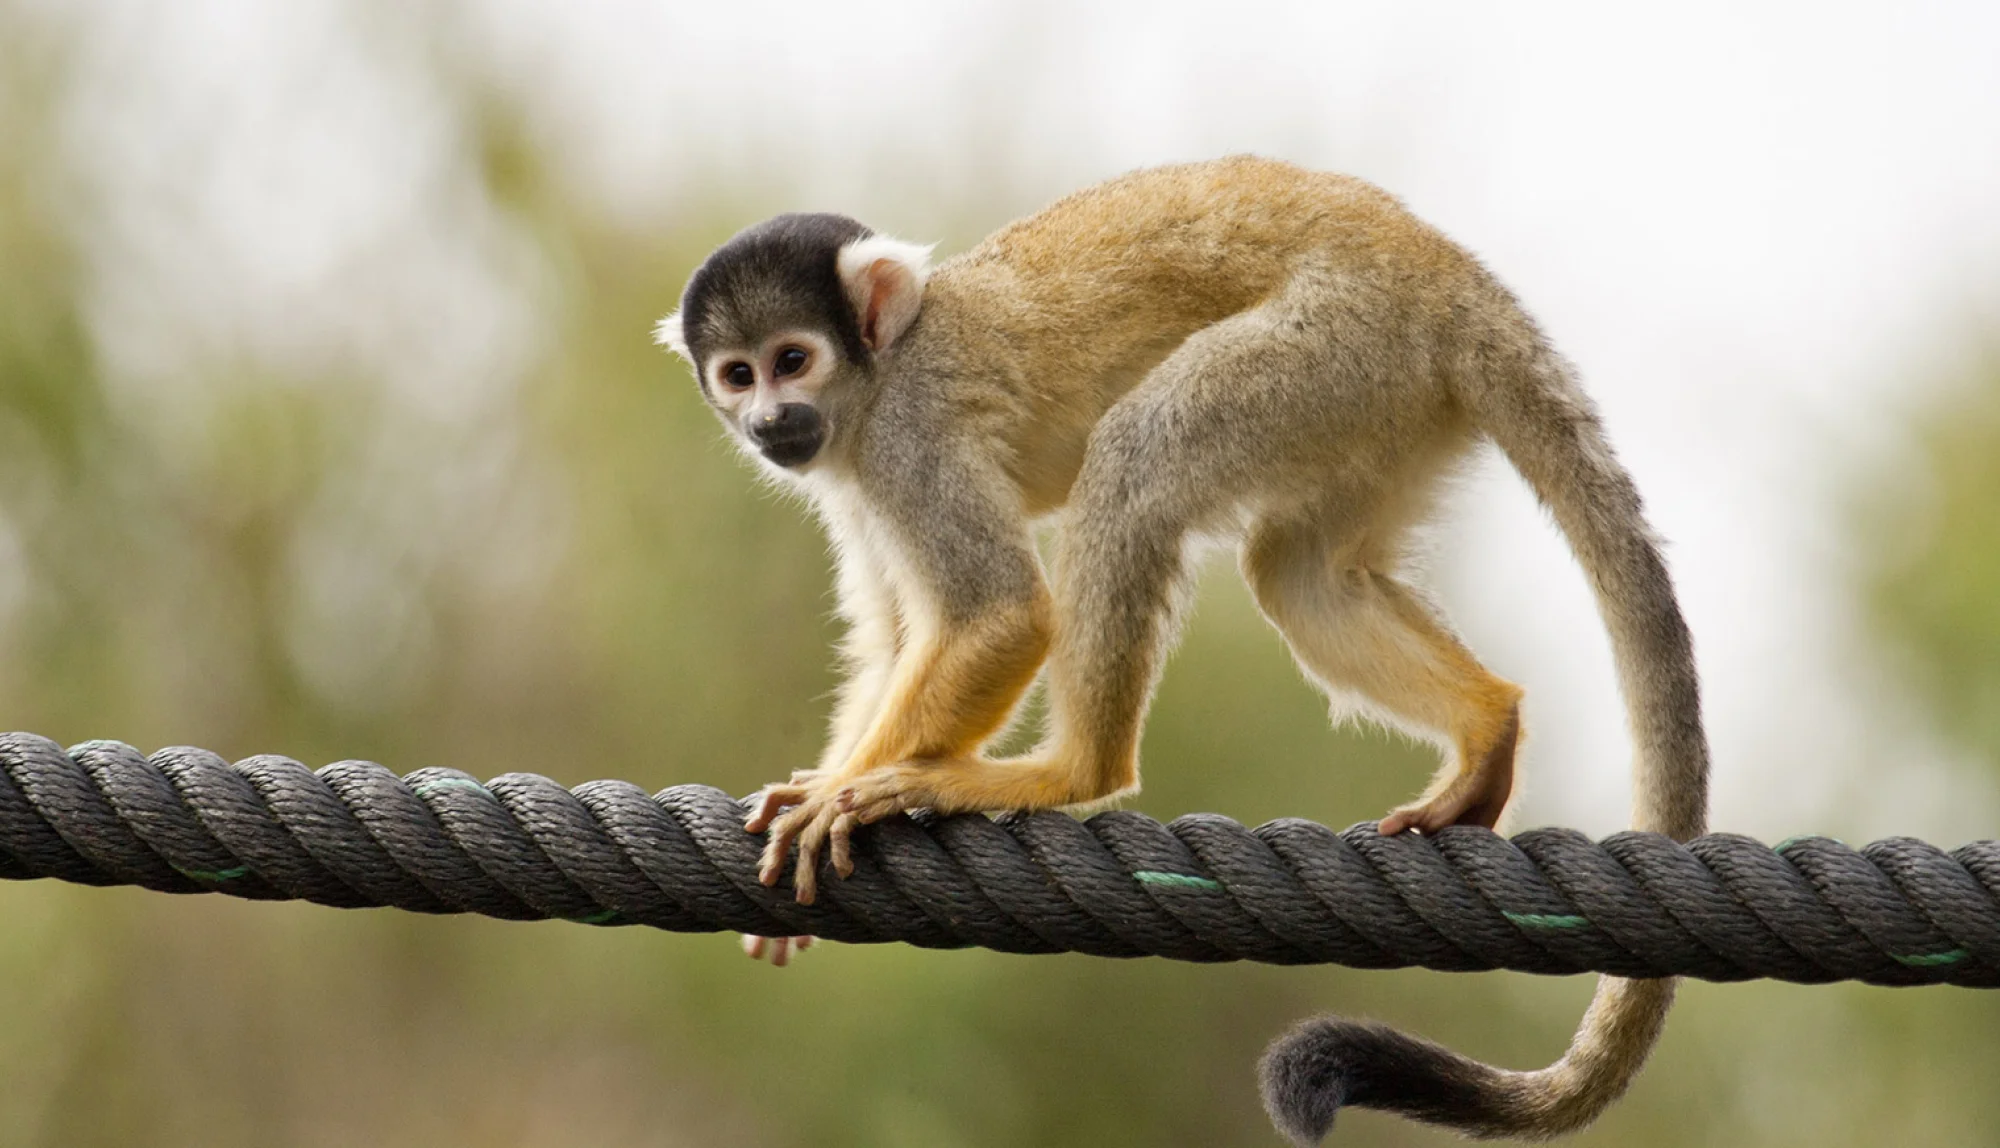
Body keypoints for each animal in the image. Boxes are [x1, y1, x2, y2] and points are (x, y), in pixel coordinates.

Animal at [654, 156, 1709, 1142]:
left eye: (793, 359)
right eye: (739, 374)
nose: (768, 421)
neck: (874, 382)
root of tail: (1446, 274)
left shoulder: (908, 438)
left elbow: (1000, 613)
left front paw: (834, 797)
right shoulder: (850, 478)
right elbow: (892, 637)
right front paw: (818, 794)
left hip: (1335, 347)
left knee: (1138, 461)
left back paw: (1071, 770)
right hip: (1387, 399)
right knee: (1298, 572)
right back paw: (1487, 727)